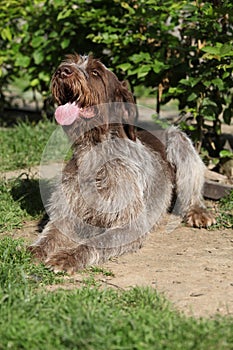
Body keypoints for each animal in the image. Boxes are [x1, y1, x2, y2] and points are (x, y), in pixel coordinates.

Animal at [28, 54, 215, 274]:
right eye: (71, 61)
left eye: (95, 72)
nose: (62, 70)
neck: (93, 151)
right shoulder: (65, 214)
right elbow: (50, 234)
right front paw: (34, 250)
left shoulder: (129, 225)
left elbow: (94, 243)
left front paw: (68, 257)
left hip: (179, 140)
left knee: (192, 190)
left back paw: (198, 212)